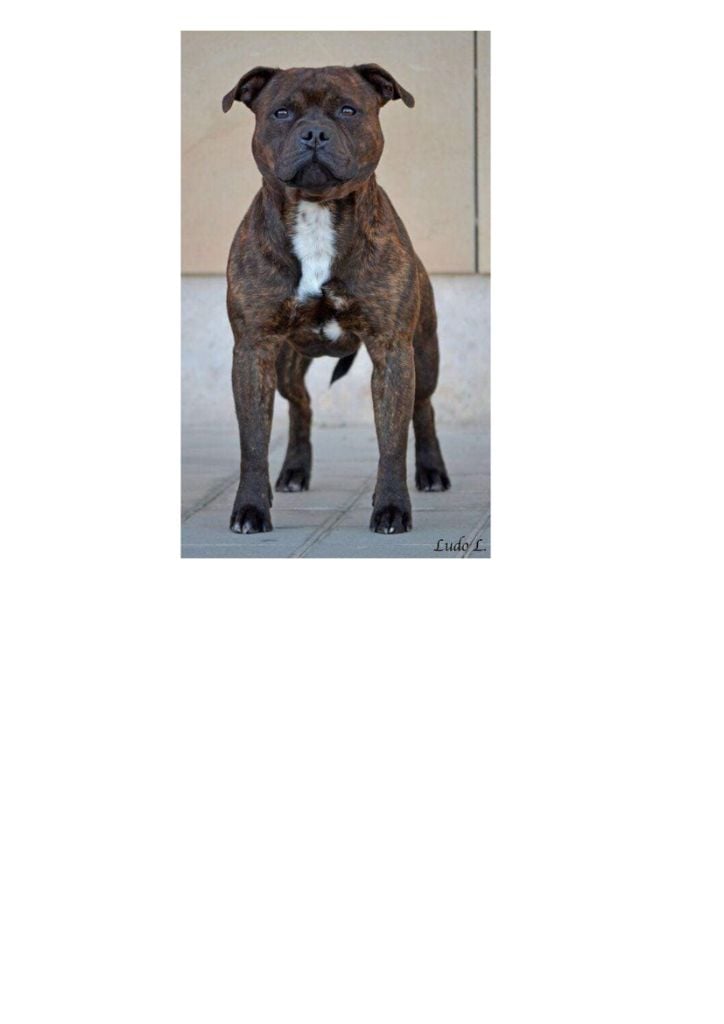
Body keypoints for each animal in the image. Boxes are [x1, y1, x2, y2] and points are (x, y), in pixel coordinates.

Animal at [222, 63, 450, 534]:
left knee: (423, 407)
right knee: (301, 405)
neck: (316, 212)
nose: (314, 133)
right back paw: (293, 472)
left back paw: (432, 471)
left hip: (424, 353)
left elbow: (392, 440)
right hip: (286, 364)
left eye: (348, 110)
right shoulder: (253, 350)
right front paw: (251, 508)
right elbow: (252, 442)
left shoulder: (392, 351)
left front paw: (391, 508)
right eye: (281, 112)